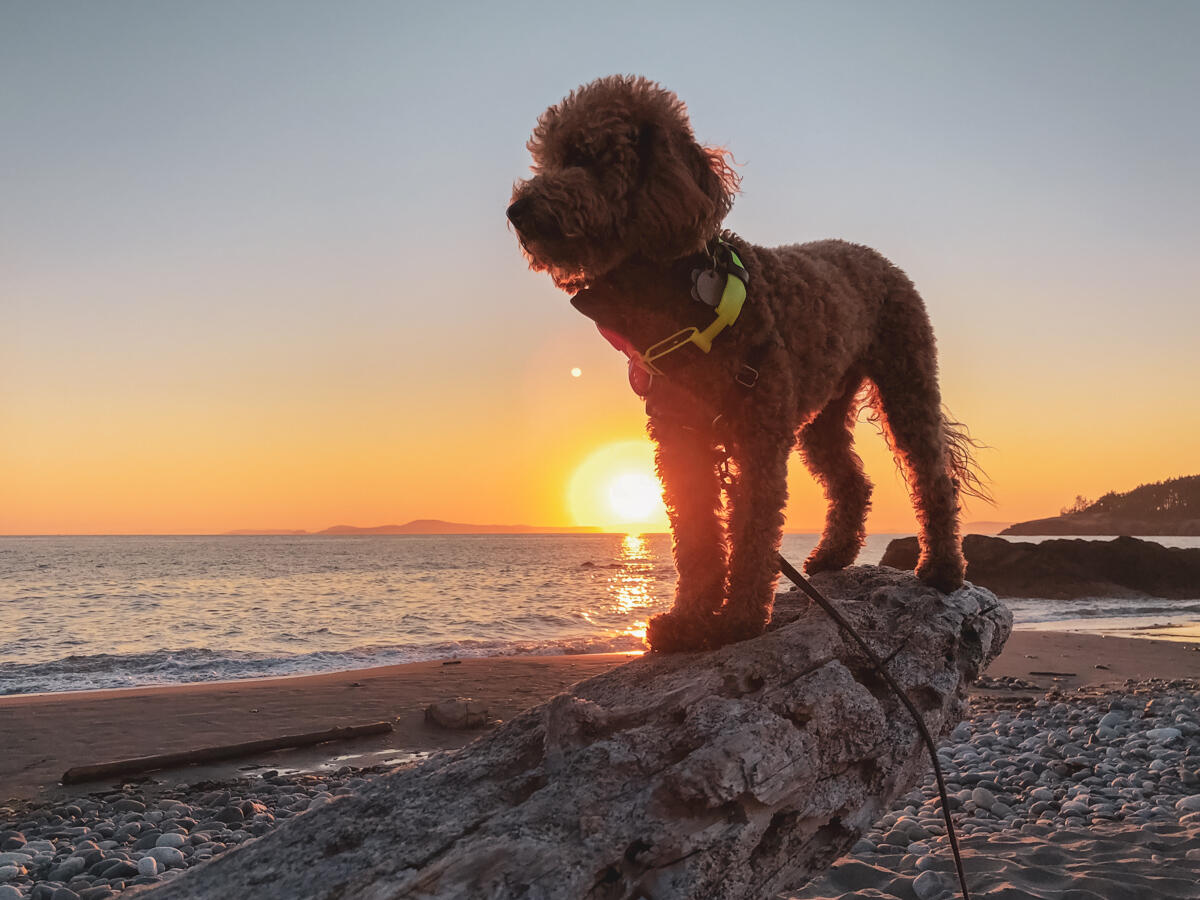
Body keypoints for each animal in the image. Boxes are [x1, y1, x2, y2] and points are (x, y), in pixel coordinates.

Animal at [506, 75, 984, 657]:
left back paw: (942, 568)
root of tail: (873, 255)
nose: (517, 211)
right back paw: (833, 555)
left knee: (933, 475)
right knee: (851, 479)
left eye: (584, 155)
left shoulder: (756, 438)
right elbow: (695, 536)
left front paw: (738, 619)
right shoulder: (681, 440)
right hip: (823, 411)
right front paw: (687, 619)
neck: (675, 294)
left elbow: (754, 531)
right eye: (546, 159)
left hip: (906, 379)